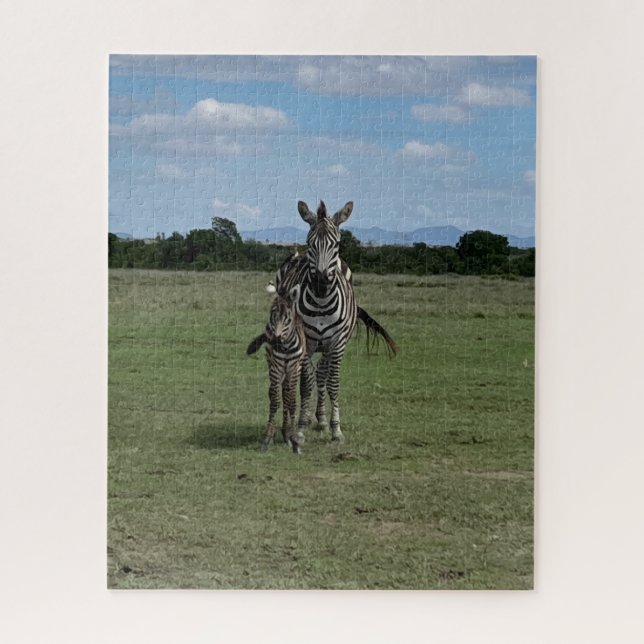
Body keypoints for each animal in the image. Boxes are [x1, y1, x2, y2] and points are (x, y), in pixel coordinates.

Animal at [246, 285, 306, 454]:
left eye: (288, 318)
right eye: (272, 316)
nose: (276, 341)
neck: (286, 347)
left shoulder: (294, 368)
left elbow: (291, 401)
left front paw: (294, 439)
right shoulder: (276, 368)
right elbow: (274, 400)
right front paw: (267, 438)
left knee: (286, 394)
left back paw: (286, 434)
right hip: (272, 364)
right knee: (276, 394)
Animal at [274, 200, 397, 443]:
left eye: (337, 244)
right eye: (309, 243)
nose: (322, 281)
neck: (321, 301)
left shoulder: (338, 343)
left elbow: (332, 382)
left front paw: (335, 429)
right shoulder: (306, 343)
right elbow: (305, 385)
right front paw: (299, 429)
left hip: (328, 345)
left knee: (322, 373)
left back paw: (321, 419)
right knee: (297, 377)